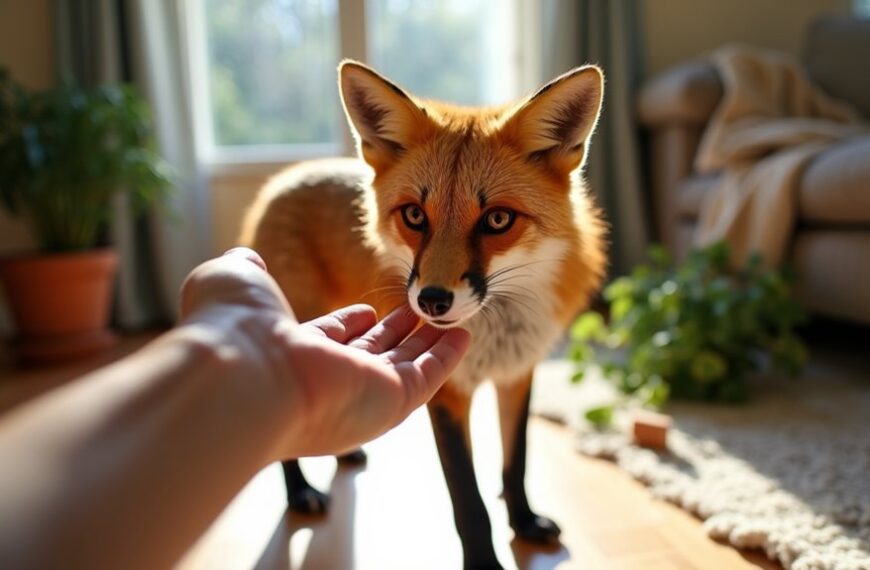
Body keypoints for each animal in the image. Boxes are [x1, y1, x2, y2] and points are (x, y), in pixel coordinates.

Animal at [240, 60, 606, 569]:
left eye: (497, 220)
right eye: (415, 215)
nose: (431, 301)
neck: (496, 332)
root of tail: (282, 180)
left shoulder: (517, 372)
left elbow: (516, 463)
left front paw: (525, 523)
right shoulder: (447, 392)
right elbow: (468, 499)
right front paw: (484, 562)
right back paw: (300, 494)